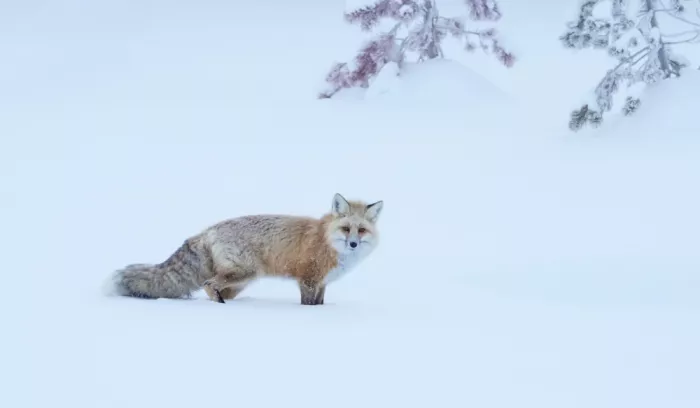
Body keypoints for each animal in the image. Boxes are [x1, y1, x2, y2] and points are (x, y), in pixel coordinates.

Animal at [103, 193, 383, 305]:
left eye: (361, 231)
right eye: (346, 229)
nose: (353, 244)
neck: (327, 242)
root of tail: (208, 229)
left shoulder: (322, 283)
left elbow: (320, 305)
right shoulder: (308, 279)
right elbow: (308, 306)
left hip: (238, 283)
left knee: (211, 287)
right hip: (242, 274)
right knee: (207, 284)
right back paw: (221, 306)